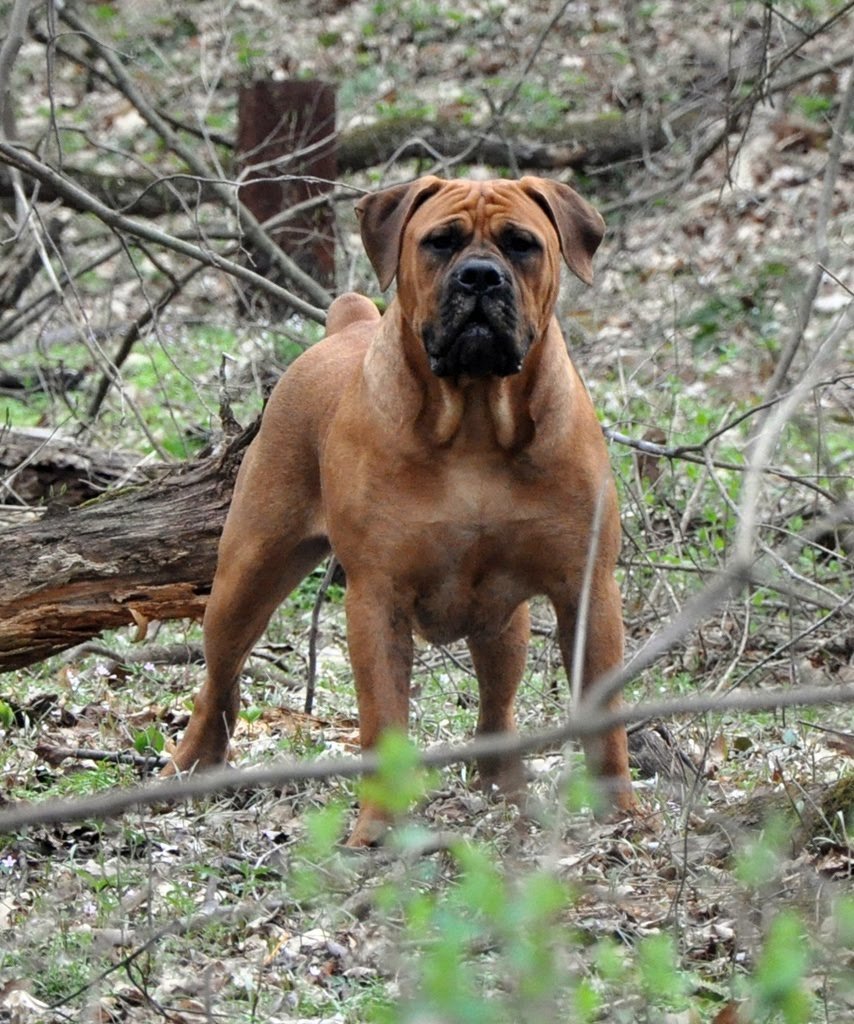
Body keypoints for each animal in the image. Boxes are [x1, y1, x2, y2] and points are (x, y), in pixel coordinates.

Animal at [167, 176, 630, 843]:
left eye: (522, 245)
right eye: (439, 242)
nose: (480, 277)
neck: (475, 421)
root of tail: (343, 326)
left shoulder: (586, 588)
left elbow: (604, 713)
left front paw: (622, 815)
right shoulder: (377, 598)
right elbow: (383, 719)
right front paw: (378, 830)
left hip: (501, 621)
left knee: (496, 706)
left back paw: (506, 789)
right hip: (247, 577)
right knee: (218, 682)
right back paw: (189, 765)